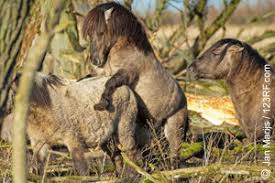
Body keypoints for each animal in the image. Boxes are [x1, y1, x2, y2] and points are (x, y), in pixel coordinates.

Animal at [6, 72, 140, 175]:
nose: (16, 76)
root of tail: (127, 88)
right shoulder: (38, 140)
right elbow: (38, 163)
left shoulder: (72, 136)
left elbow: (79, 163)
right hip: (106, 136)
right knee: (116, 154)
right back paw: (119, 175)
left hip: (125, 125)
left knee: (131, 151)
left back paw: (131, 175)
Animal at [82, 1, 190, 166]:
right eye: (89, 34)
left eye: (100, 33)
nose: (95, 61)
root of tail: (185, 102)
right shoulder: (102, 73)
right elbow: (88, 77)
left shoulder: (126, 74)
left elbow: (110, 83)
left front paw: (102, 103)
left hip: (173, 128)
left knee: (174, 154)